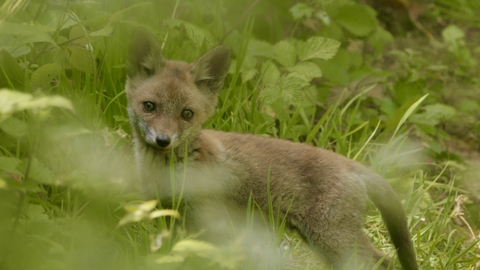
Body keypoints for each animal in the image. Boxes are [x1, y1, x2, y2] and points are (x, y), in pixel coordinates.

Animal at [125, 28, 418, 270]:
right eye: (149, 106)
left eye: (187, 114)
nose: (163, 140)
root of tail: (350, 163)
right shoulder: (166, 217)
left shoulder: (209, 221)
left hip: (333, 240)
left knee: (384, 262)